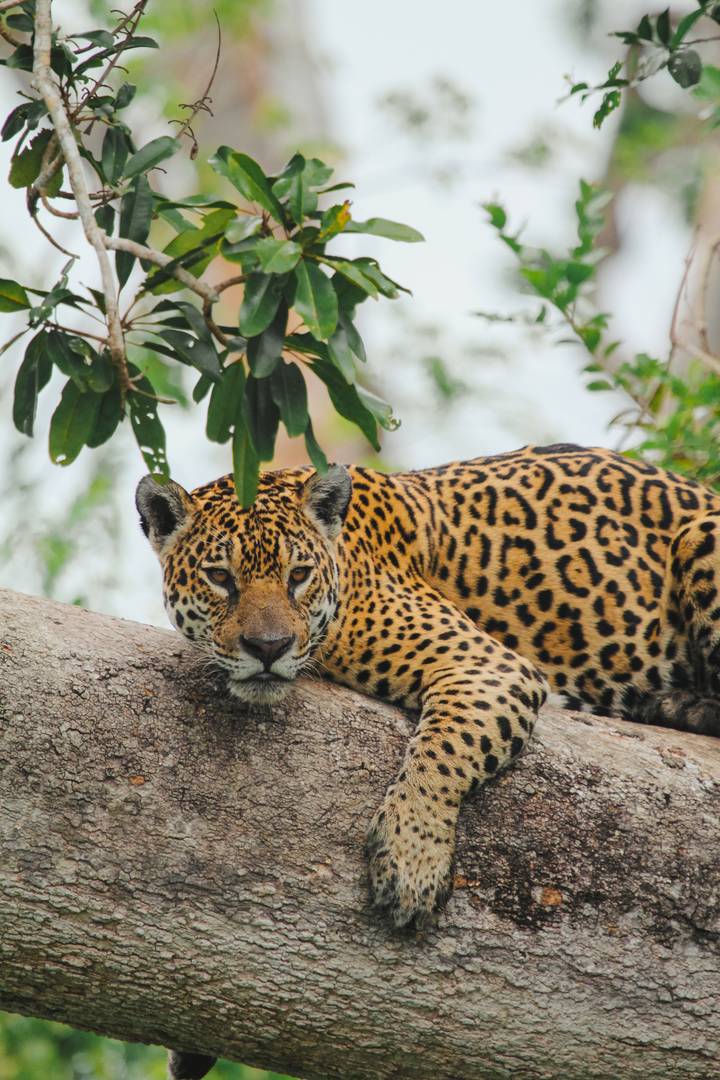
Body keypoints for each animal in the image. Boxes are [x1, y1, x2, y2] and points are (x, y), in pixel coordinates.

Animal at [136, 443, 720, 1080]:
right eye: (220, 578)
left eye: (298, 575)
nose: (268, 648)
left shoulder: (486, 666)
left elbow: (441, 750)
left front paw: (412, 860)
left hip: (702, 534)